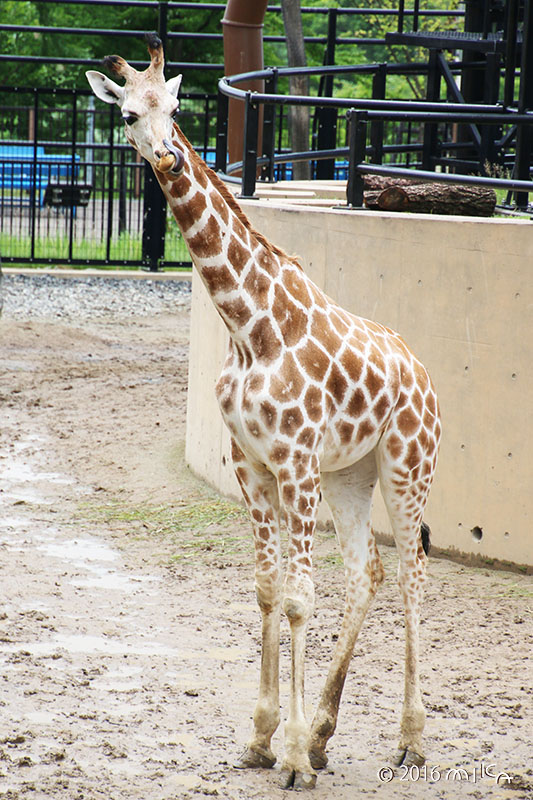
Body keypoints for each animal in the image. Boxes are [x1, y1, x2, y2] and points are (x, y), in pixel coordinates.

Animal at [87, 36, 440, 788]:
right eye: (128, 114)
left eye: (175, 108)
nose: (168, 157)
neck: (250, 325)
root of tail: (423, 373)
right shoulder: (251, 463)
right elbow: (267, 589)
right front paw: (263, 737)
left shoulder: (294, 460)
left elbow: (300, 595)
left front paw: (294, 756)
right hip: (350, 473)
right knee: (366, 572)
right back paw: (332, 732)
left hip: (406, 465)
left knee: (410, 575)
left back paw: (409, 742)